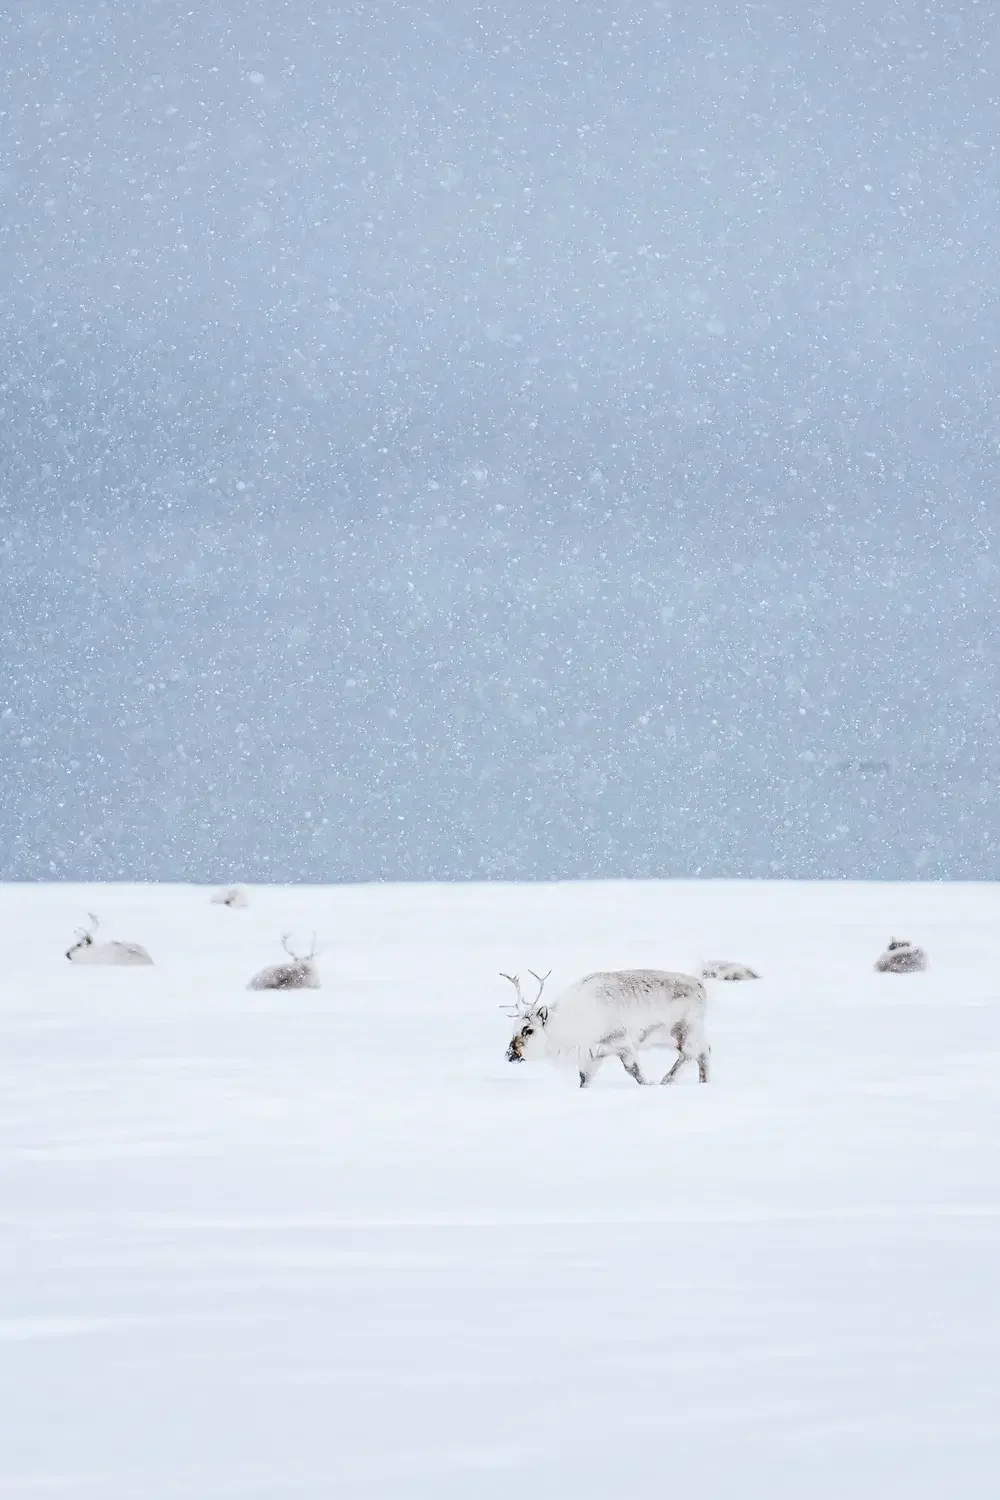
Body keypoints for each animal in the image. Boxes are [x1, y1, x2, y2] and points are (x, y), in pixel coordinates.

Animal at [502, 968, 710, 1088]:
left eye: (528, 1029)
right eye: (513, 1028)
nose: (509, 1054)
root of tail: (701, 986)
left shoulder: (620, 1042)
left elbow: (634, 1070)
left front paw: (649, 1084)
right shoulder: (592, 1054)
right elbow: (584, 1079)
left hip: (684, 1030)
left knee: (689, 1053)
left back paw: (666, 1080)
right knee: (704, 1052)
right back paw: (704, 1082)